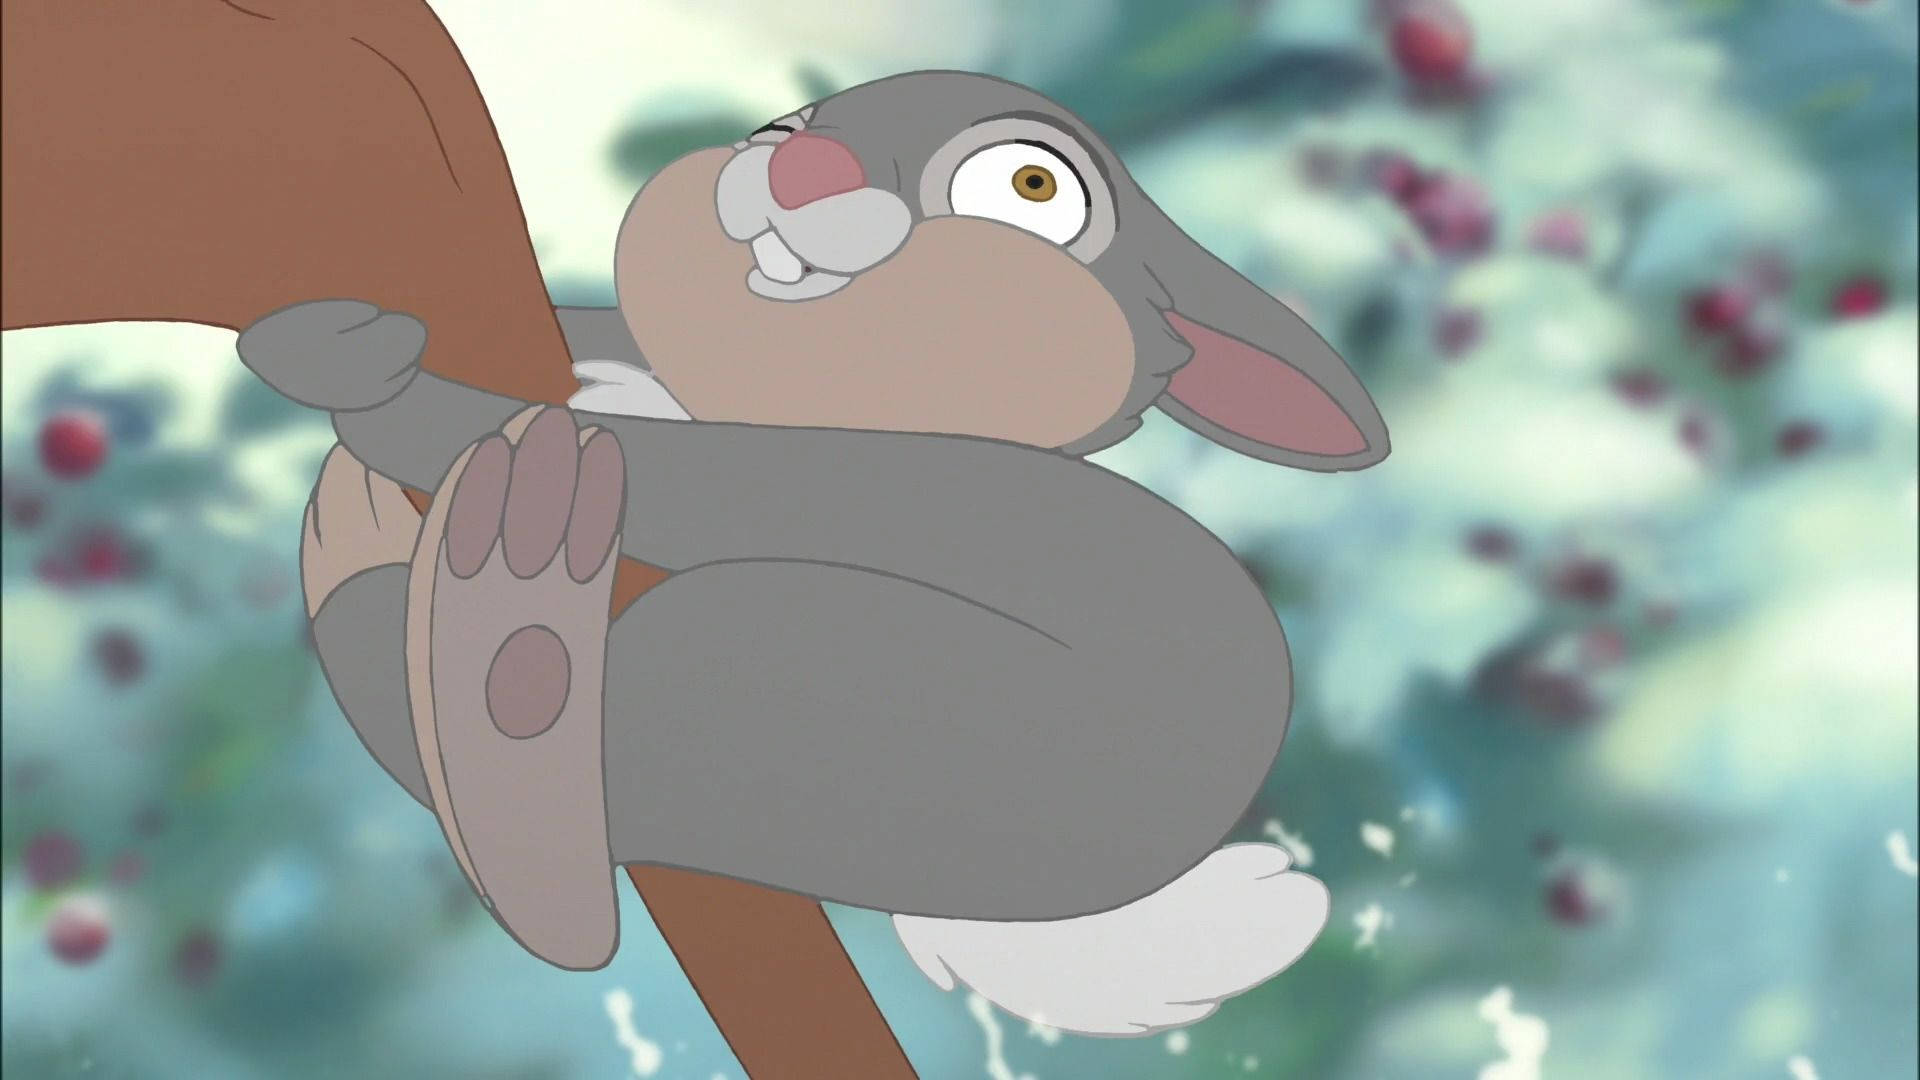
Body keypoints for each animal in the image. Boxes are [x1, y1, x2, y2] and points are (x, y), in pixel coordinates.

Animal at [240, 69, 1389, 1037]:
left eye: (1031, 186)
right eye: (796, 120)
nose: (801, 163)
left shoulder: (910, 486)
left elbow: (684, 471)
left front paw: (389, 395)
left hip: (859, 695)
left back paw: (515, 580)